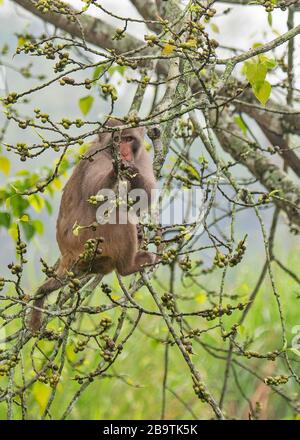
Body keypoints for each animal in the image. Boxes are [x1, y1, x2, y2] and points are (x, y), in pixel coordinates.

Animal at [29, 118, 156, 332]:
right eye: (118, 139)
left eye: (129, 139)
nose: (124, 152)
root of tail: (67, 255)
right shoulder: (95, 157)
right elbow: (97, 192)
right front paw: (116, 171)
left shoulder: (142, 157)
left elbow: (146, 195)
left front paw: (133, 171)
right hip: (87, 243)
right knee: (117, 215)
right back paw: (128, 266)